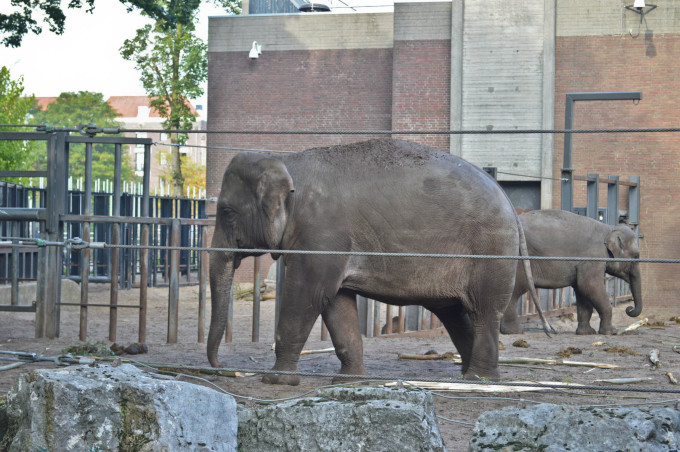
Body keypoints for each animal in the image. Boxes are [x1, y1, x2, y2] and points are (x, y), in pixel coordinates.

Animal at [210, 139, 548, 384]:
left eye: (226, 212)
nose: (225, 367)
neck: (285, 160)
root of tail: (510, 204)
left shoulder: (321, 234)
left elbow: (308, 295)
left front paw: (276, 380)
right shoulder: (330, 244)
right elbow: (336, 302)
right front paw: (349, 381)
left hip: (491, 253)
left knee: (483, 312)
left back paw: (479, 381)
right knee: (454, 314)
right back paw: (465, 376)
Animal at [500, 209, 644, 336]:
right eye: (636, 256)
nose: (629, 309)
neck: (609, 228)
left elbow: (582, 291)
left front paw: (586, 333)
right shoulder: (592, 258)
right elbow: (590, 286)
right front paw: (611, 332)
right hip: (518, 260)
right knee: (516, 290)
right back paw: (515, 331)